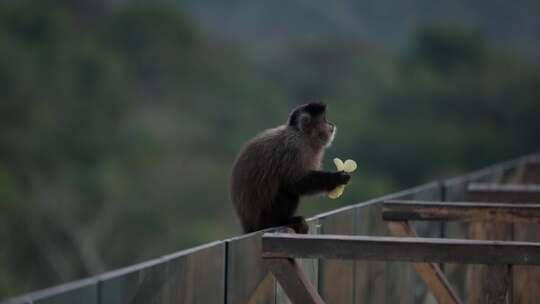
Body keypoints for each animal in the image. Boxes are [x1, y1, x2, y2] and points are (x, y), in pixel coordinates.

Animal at [231, 102, 350, 233]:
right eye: (324, 120)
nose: (331, 125)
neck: (302, 135)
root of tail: (249, 226)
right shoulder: (293, 147)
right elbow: (295, 182)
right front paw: (336, 178)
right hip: (263, 218)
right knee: (287, 189)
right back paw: (280, 221)